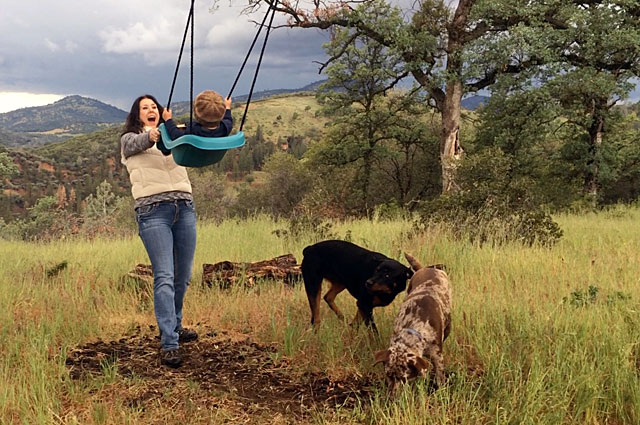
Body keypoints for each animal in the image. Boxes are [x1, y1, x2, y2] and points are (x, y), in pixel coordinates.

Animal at [376, 252, 450, 394]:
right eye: (388, 375)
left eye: (404, 378)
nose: (392, 396)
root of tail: (426, 268)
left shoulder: (437, 356)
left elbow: (440, 375)